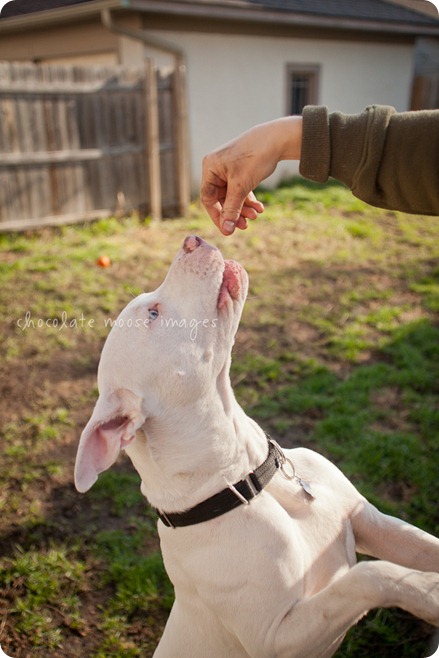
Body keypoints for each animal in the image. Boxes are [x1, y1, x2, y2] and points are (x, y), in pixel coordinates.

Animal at [75, 236, 439, 656]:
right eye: (153, 313)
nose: (191, 239)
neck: (249, 477)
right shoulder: (278, 636)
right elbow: (367, 576)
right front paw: (428, 591)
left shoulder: (369, 520)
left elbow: (419, 550)